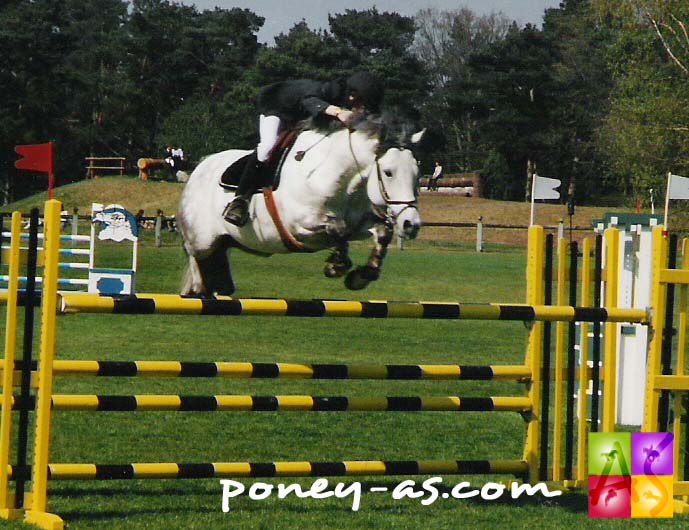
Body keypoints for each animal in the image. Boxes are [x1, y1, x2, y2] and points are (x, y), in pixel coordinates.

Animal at [176, 117, 424, 294]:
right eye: (388, 172)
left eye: (417, 173)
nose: (411, 224)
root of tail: (197, 170)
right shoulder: (299, 226)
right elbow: (337, 229)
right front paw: (336, 266)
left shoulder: (358, 224)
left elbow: (381, 231)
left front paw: (361, 276)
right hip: (203, 241)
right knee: (193, 255)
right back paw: (198, 286)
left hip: (225, 242)